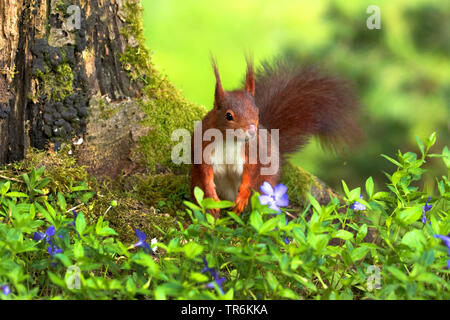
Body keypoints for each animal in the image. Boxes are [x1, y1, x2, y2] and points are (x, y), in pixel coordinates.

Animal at [192, 57, 360, 216]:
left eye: (257, 113)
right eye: (229, 116)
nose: (252, 130)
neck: (230, 140)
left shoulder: (253, 151)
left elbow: (252, 173)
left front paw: (243, 197)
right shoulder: (204, 146)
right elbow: (205, 171)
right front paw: (211, 194)